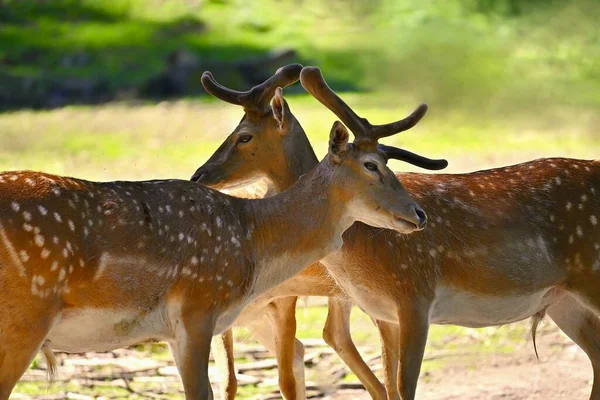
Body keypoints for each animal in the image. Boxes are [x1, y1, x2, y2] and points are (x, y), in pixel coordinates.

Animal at [0, 66, 446, 400]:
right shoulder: (198, 308)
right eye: (372, 165)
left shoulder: (176, 330)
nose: (418, 214)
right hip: (24, 317)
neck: (252, 239)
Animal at [195, 66, 600, 400]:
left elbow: (404, 387)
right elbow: (389, 386)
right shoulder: (381, 312)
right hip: (562, 299)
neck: (361, 249)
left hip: (589, 279)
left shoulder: (415, 295)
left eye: (244, 136)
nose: (199, 174)